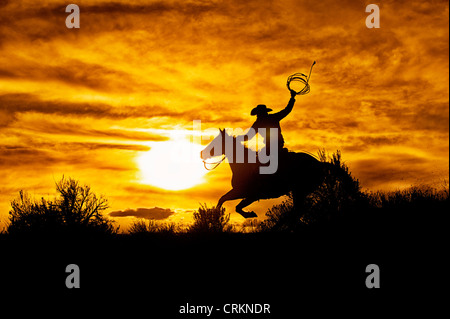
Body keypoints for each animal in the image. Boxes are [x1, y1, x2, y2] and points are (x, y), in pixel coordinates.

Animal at [200, 129, 334, 219]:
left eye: (216, 141)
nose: (202, 153)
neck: (245, 165)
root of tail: (319, 163)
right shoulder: (240, 192)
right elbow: (222, 199)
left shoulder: (250, 195)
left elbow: (236, 206)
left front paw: (250, 214)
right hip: (301, 191)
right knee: (297, 211)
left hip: (300, 190)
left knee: (297, 212)